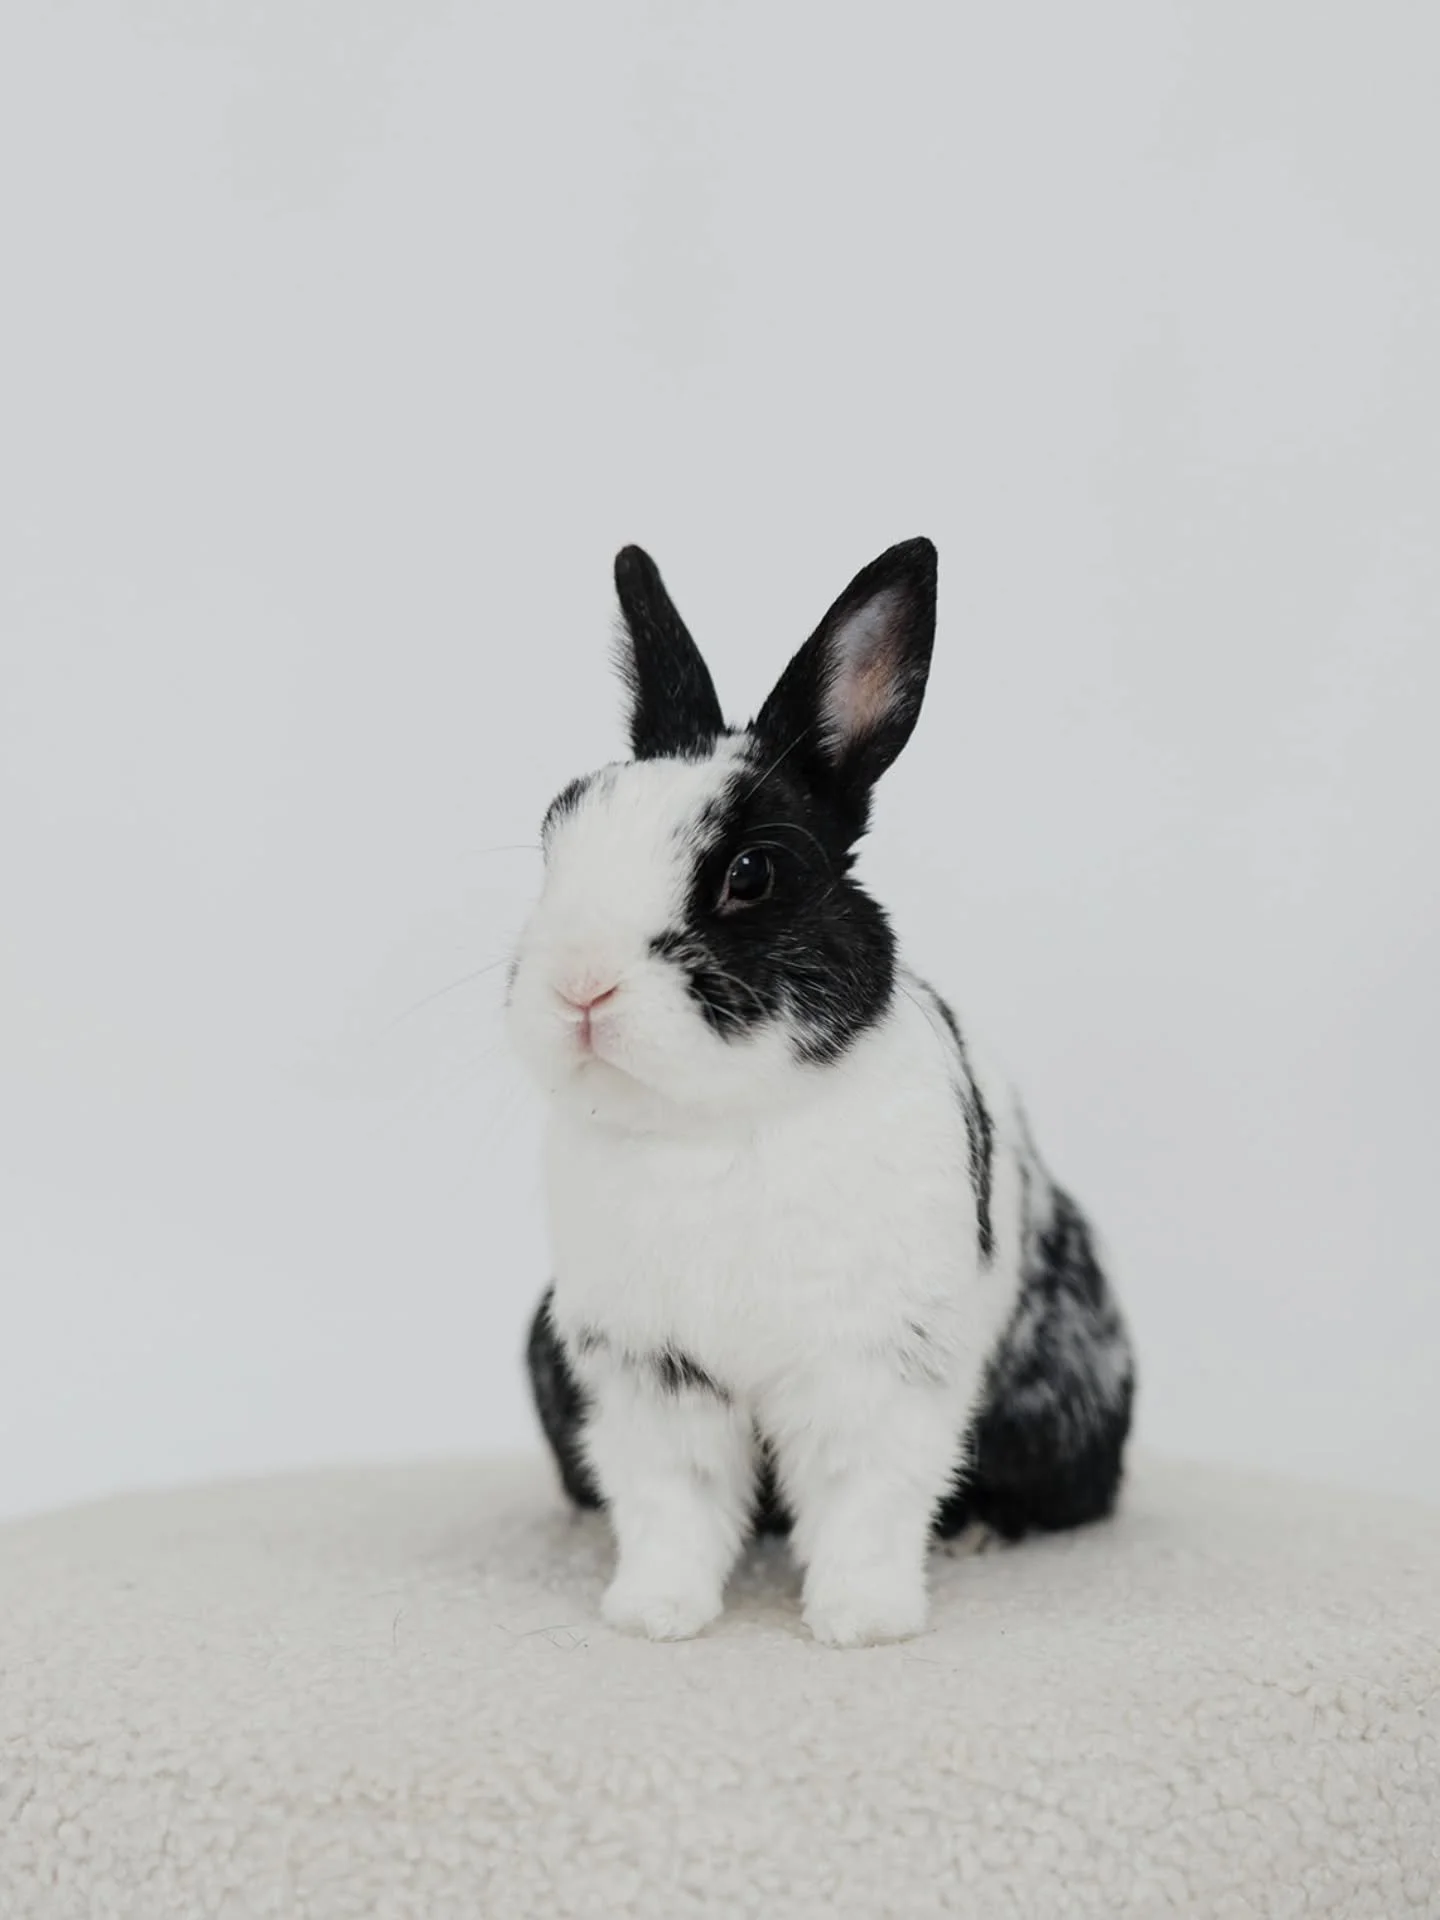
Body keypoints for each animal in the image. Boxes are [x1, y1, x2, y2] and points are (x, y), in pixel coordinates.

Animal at [507, 538, 1135, 1647]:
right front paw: (654, 1613)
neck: (718, 1124)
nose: (579, 986)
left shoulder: (878, 1365)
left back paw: (981, 1534)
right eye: (556, 833)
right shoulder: (647, 1372)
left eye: (752, 873)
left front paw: (860, 1622)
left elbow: (864, 1498)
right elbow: (672, 1501)